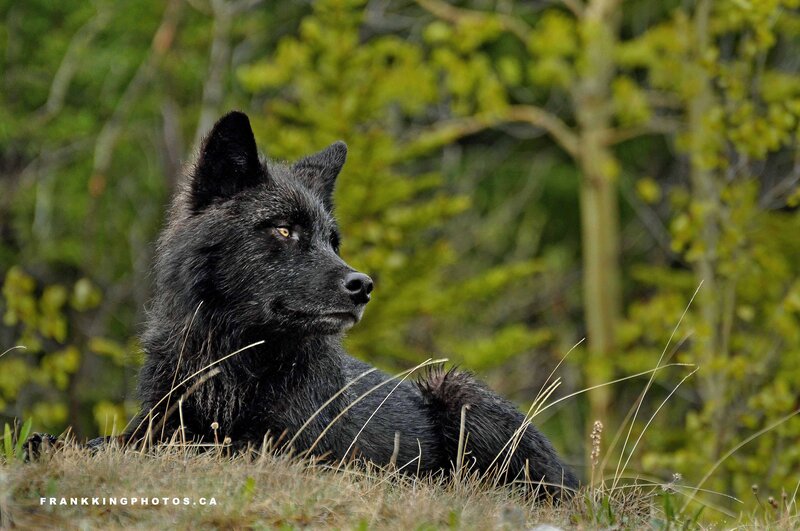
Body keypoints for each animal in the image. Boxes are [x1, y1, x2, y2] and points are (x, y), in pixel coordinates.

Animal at [30, 111, 578, 498]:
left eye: (332, 241)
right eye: (284, 230)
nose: (364, 285)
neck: (233, 362)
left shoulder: (282, 451)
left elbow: (193, 449)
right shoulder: (158, 423)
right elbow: (114, 441)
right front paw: (56, 444)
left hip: (457, 391)